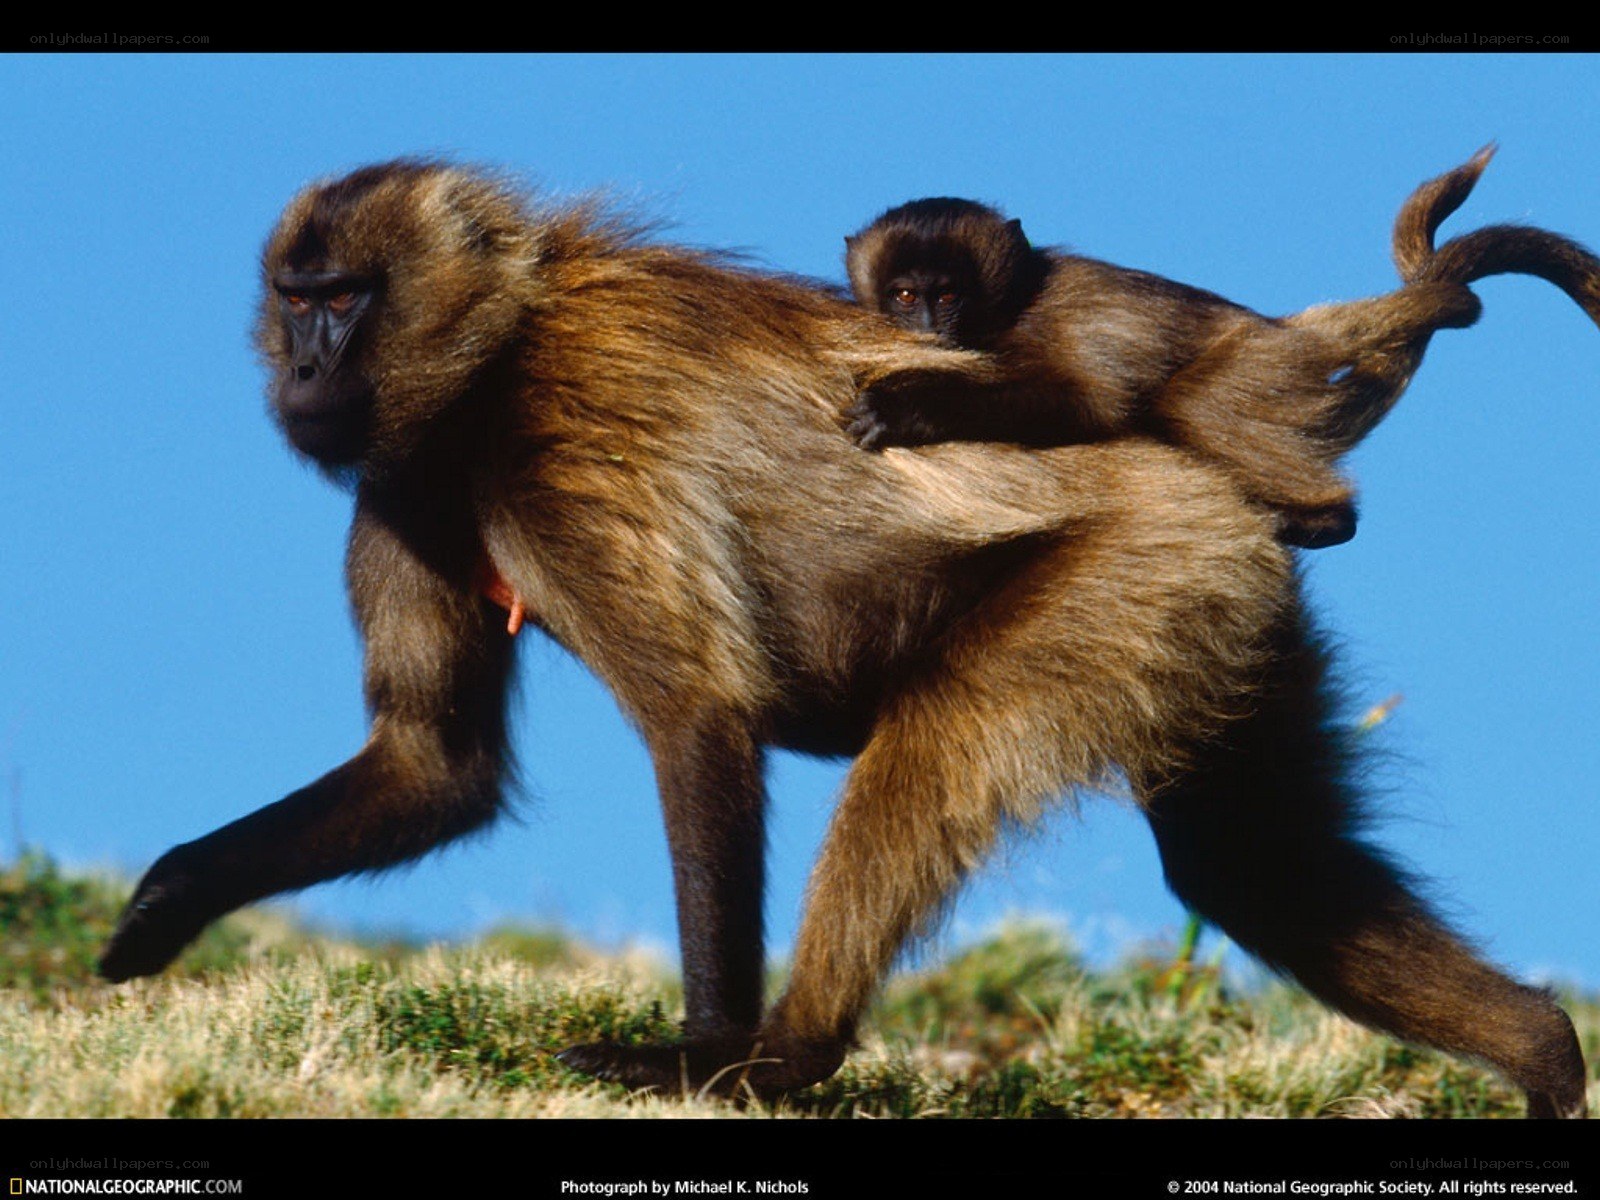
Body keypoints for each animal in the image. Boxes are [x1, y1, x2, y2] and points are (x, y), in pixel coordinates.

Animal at [844, 147, 1600, 550]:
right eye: (905, 296)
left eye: (948, 295)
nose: (929, 328)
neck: (1011, 305)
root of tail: (1288, 329)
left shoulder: (1054, 315)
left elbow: (1089, 403)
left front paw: (909, 407)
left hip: (1263, 365)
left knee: (1193, 405)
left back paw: (1325, 519)